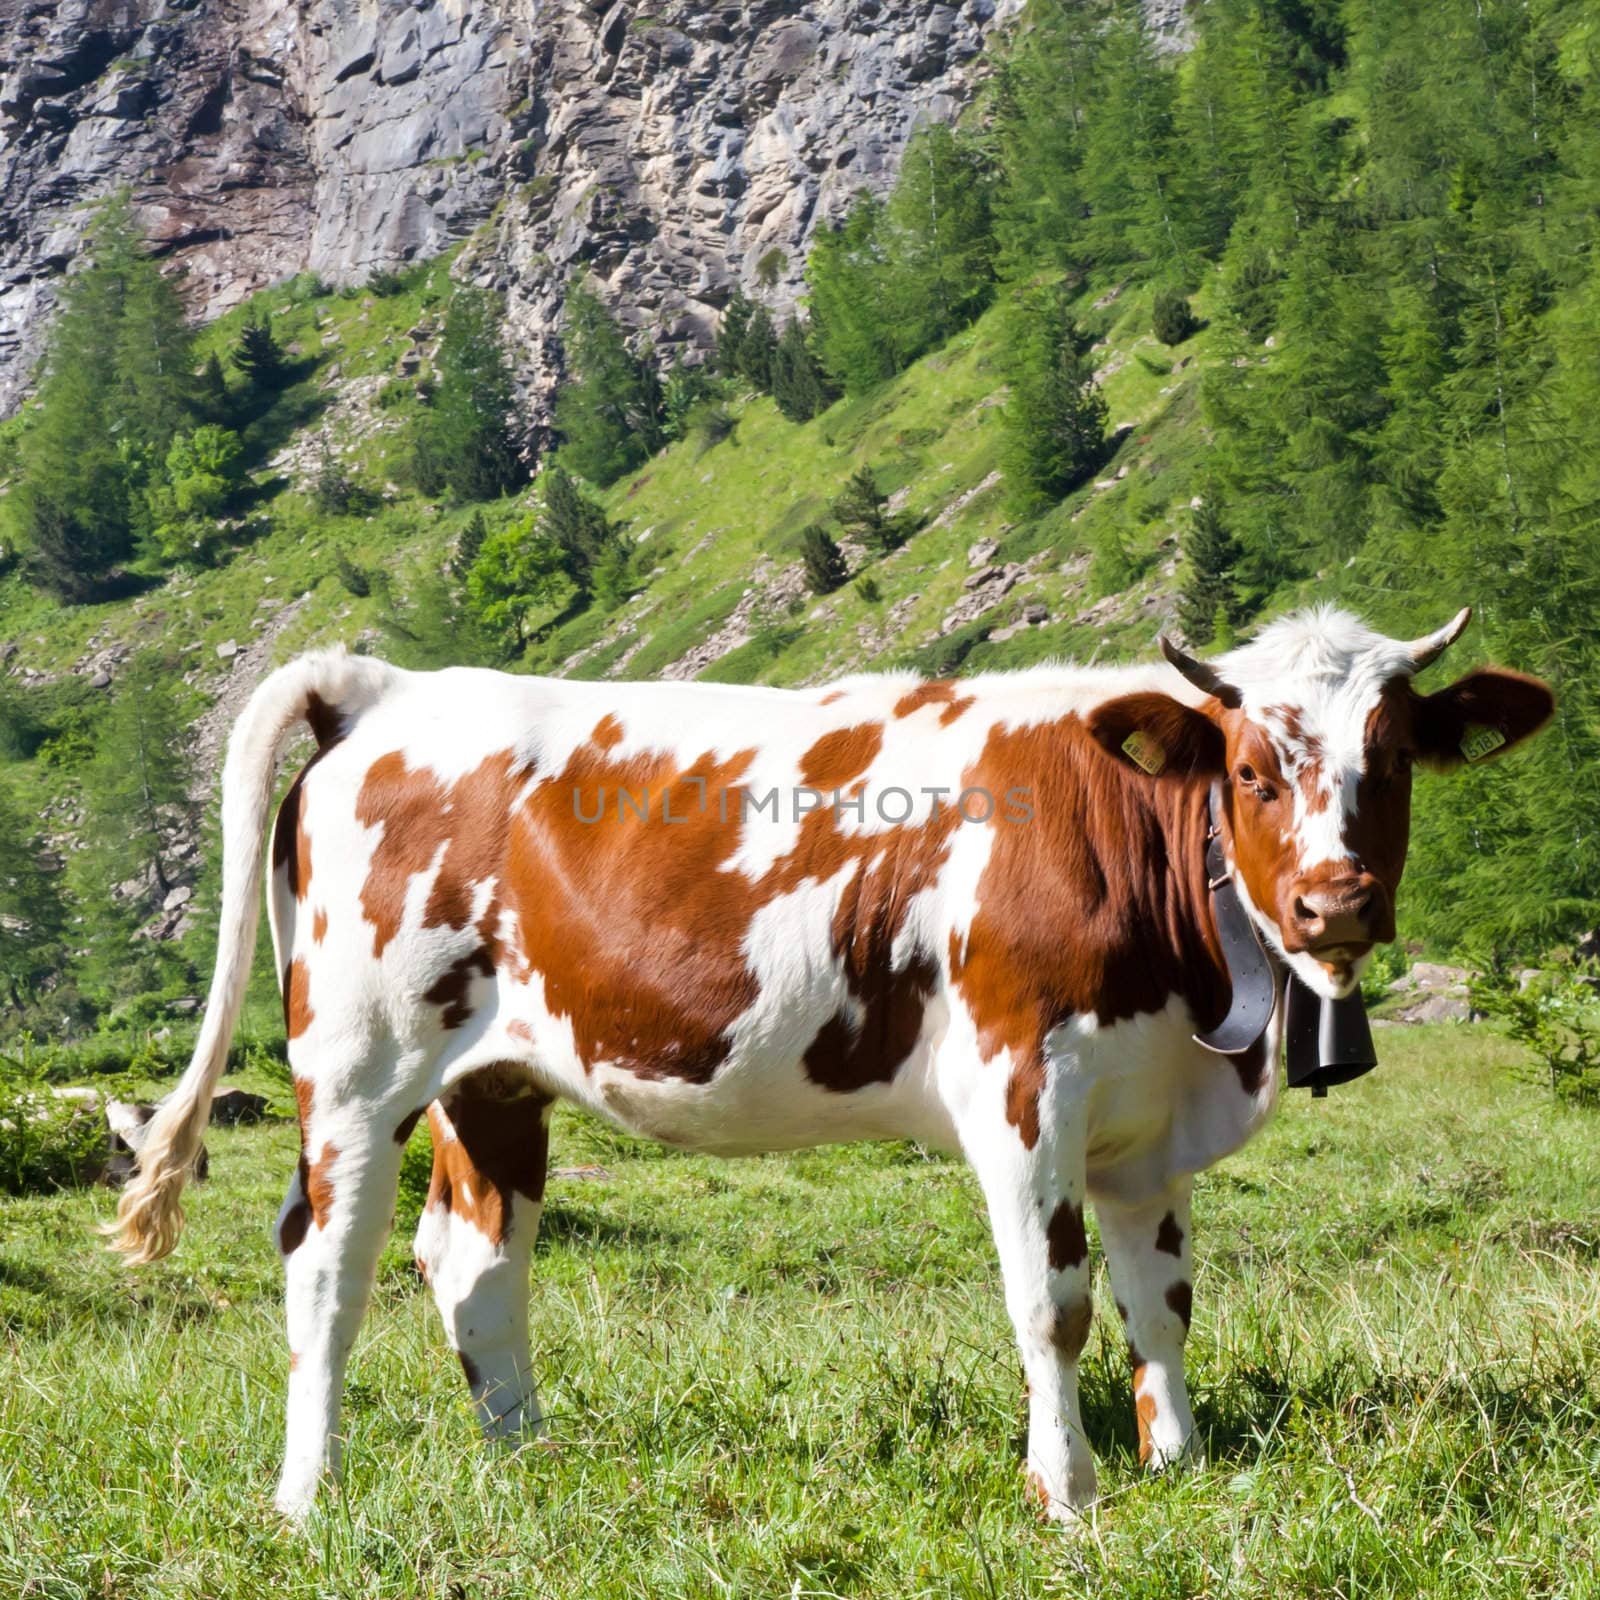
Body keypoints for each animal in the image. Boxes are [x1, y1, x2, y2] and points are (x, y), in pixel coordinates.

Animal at [109, 601, 1548, 1523]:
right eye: (1251, 768)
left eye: (1390, 762)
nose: (1333, 901)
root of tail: (390, 688)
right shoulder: (1023, 1086)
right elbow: (1056, 1301)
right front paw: (1068, 1492)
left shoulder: (1148, 1116)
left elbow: (1162, 1302)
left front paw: (1178, 1465)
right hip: (357, 1062)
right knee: (325, 1261)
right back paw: (309, 1495)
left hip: (493, 1077)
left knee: (473, 1261)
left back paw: (525, 1464)